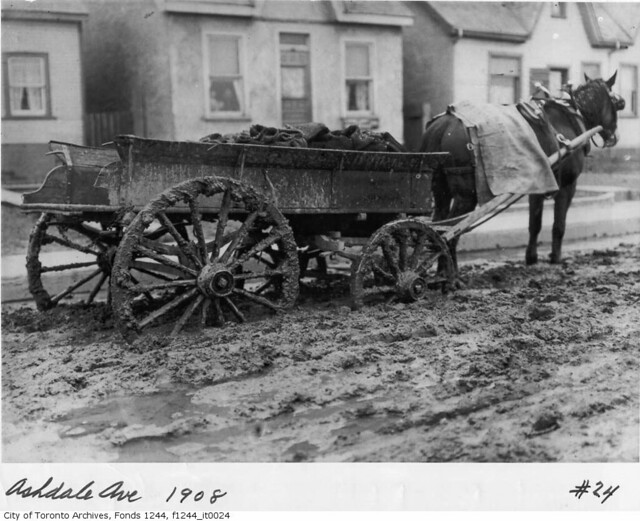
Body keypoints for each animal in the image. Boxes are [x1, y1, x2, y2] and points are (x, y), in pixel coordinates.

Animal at [420, 73, 624, 280]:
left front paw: (531, 258)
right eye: (618, 103)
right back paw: (452, 276)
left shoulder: (539, 184)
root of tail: (443, 125)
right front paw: (556, 258)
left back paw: (441, 271)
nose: (614, 137)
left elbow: (535, 224)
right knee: (450, 231)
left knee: (437, 226)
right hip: (466, 195)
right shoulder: (567, 186)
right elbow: (558, 225)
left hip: (440, 188)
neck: (570, 119)